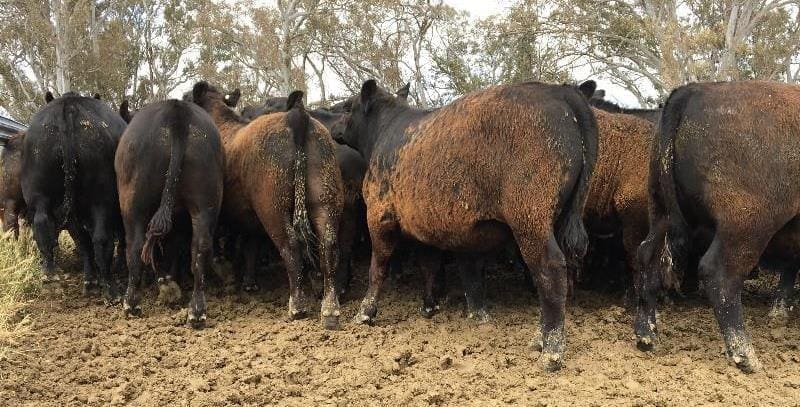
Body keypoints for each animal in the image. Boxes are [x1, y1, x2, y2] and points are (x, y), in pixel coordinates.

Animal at [188, 83, 344, 332]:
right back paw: (329, 311)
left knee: (291, 247)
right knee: (328, 245)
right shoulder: (249, 219)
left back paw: (297, 307)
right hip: (325, 199)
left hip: (273, 209)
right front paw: (249, 282)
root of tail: (296, 116)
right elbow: (251, 245)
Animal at [334, 80, 596, 372]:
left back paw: (551, 351)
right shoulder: (423, 226)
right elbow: (432, 266)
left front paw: (365, 312)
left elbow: (377, 268)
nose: (332, 125)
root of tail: (558, 90)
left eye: (346, 106)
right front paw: (429, 307)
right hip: (558, 219)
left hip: (530, 220)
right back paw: (540, 340)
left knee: (550, 271)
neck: (386, 132)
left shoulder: (379, 217)